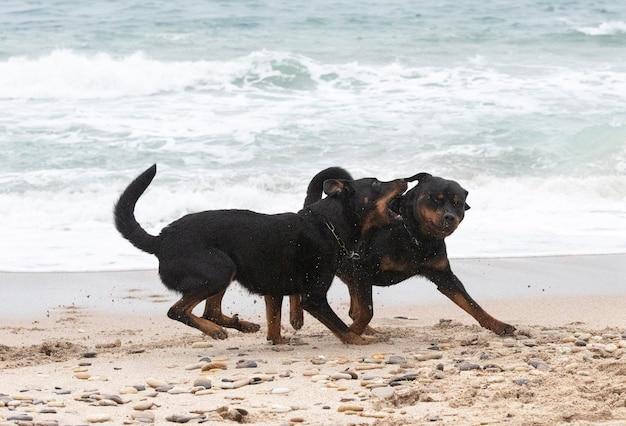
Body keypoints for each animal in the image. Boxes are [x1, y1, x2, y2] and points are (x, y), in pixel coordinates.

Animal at [113, 165, 404, 344]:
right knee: (178, 310)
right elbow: (343, 327)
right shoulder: (314, 298)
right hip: (219, 268)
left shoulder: (274, 290)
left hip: (225, 270)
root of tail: (161, 239)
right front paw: (360, 340)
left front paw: (278, 341)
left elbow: (274, 325)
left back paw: (241, 325)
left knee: (210, 311)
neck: (328, 224)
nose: (404, 179)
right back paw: (215, 331)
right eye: (376, 183)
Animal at [270, 168, 516, 338]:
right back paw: (296, 316)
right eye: (433, 198)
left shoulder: (444, 276)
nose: (450, 217)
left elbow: (472, 304)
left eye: (458, 203)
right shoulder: (363, 269)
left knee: (352, 307)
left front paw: (499, 325)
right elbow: (367, 311)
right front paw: (353, 332)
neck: (415, 237)